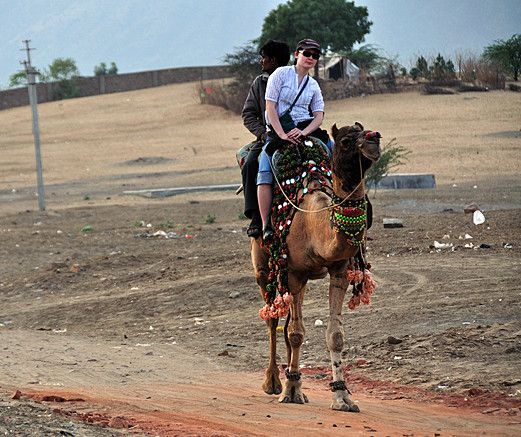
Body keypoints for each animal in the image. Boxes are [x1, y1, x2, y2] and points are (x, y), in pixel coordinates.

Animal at [250, 122, 380, 408]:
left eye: (369, 132)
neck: (313, 221)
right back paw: (273, 383)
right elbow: (296, 333)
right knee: (272, 318)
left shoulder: (338, 270)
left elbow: (335, 336)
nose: (374, 139)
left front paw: (342, 397)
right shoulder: (293, 273)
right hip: (263, 268)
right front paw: (290, 392)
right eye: (345, 141)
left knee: (287, 320)